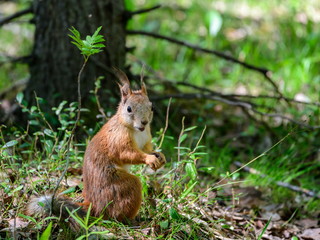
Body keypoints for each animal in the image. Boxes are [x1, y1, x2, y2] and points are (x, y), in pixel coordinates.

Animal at [26, 69, 166, 223]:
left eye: (151, 106)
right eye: (129, 109)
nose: (144, 122)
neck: (135, 130)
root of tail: (93, 207)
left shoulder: (145, 140)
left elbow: (147, 150)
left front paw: (159, 156)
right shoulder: (118, 139)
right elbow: (128, 154)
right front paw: (150, 159)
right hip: (120, 185)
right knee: (116, 212)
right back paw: (133, 220)